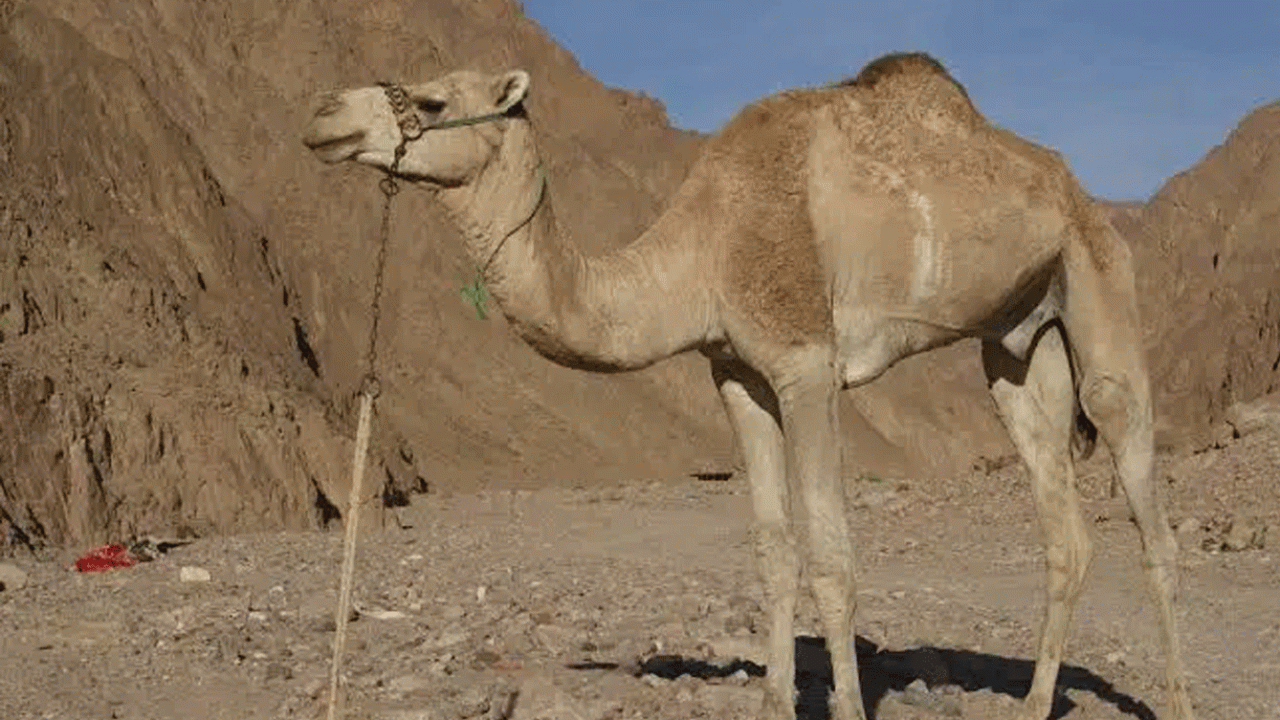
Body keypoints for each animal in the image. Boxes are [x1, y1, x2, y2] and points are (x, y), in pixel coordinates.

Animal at [302, 52, 1196, 720]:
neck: (705, 249)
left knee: (1144, 496)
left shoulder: (807, 367)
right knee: (1062, 518)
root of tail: (1077, 190)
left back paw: (1178, 700)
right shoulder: (735, 374)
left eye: (432, 98)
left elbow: (831, 554)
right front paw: (771, 698)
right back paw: (1038, 702)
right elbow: (772, 549)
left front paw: (845, 706)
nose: (323, 115)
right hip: (1017, 341)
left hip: (1099, 279)